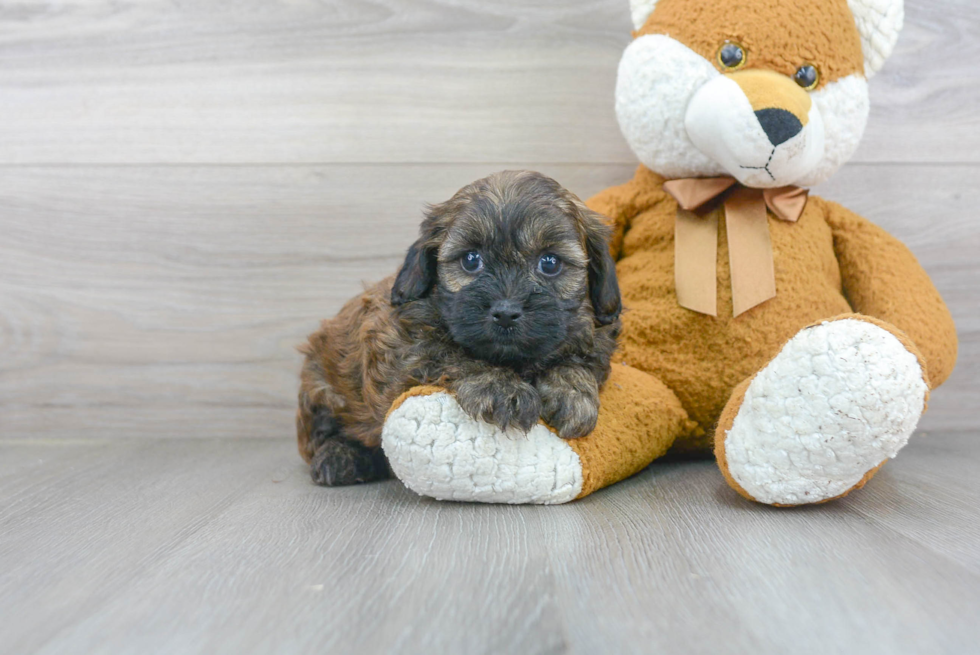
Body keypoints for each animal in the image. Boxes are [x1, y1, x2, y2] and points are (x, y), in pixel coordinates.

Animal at [294, 170, 624, 486]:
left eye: (550, 262)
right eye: (470, 260)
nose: (506, 312)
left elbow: (581, 359)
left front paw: (572, 392)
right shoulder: (400, 352)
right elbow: (452, 354)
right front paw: (502, 389)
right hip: (321, 386)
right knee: (324, 434)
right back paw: (341, 457)